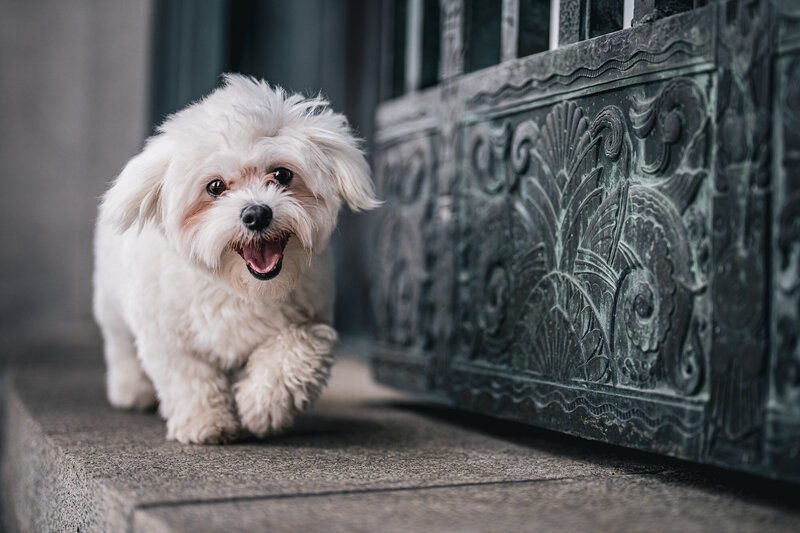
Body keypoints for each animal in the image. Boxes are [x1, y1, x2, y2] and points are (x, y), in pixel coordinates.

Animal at [92, 72, 380, 442]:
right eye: (215, 187)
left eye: (282, 174)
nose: (257, 214)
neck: (238, 286)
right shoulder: (168, 335)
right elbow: (188, 377)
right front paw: (205, 421)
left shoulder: (312, 320)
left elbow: (296, 351)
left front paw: (261, 407)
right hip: (111, 303)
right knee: (121, 345)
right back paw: (131, 389)